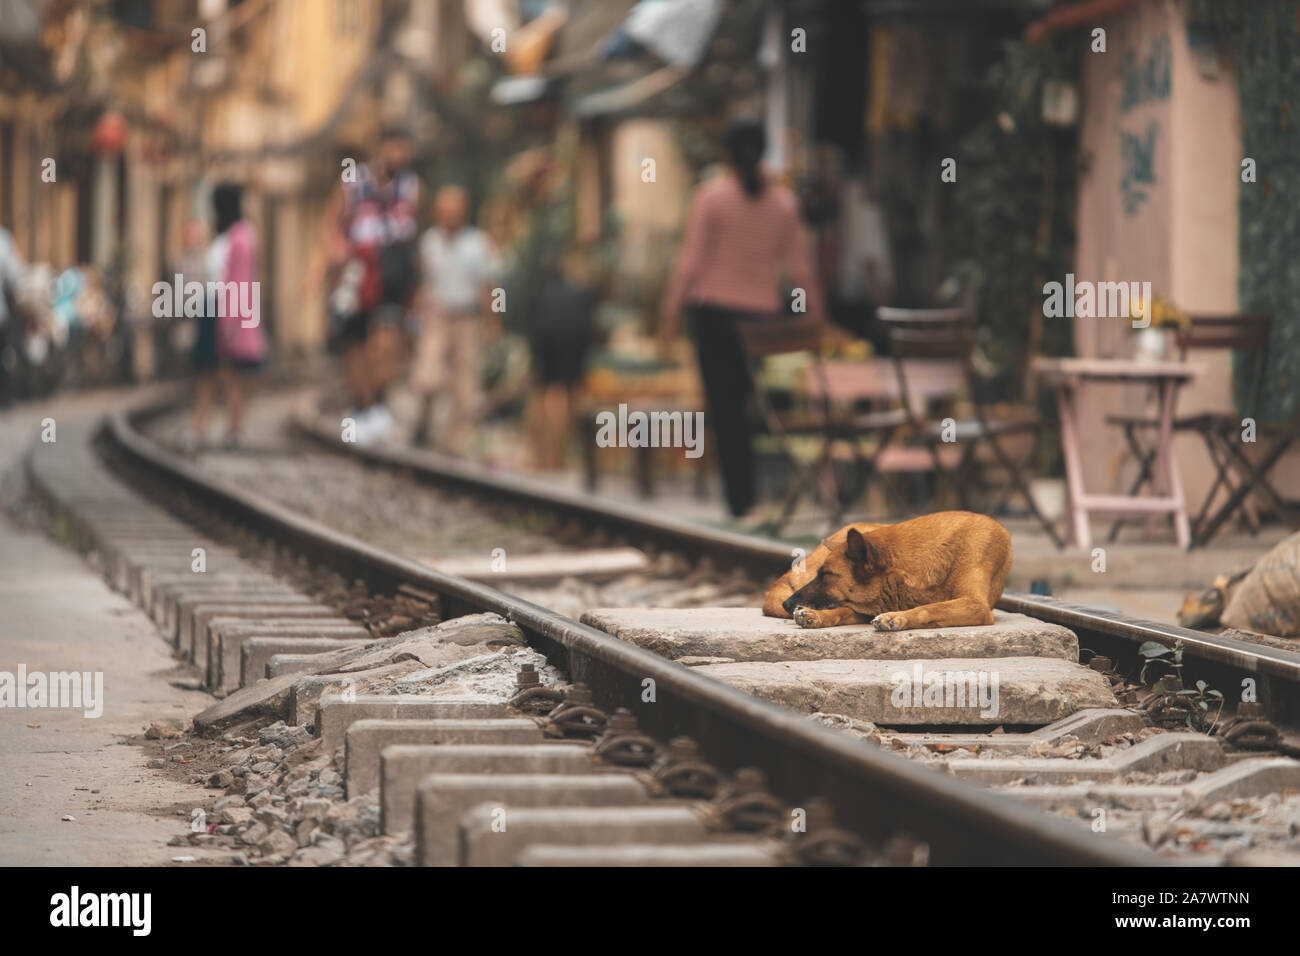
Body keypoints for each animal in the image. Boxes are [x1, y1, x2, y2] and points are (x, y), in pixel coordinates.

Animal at [759, 512, 1013, 632]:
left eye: (826, 575)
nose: (787, 604)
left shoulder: (976, 605)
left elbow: (931, 608)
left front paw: (896, 618)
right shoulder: (871, 603)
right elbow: (842, 610)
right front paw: (816, 615)